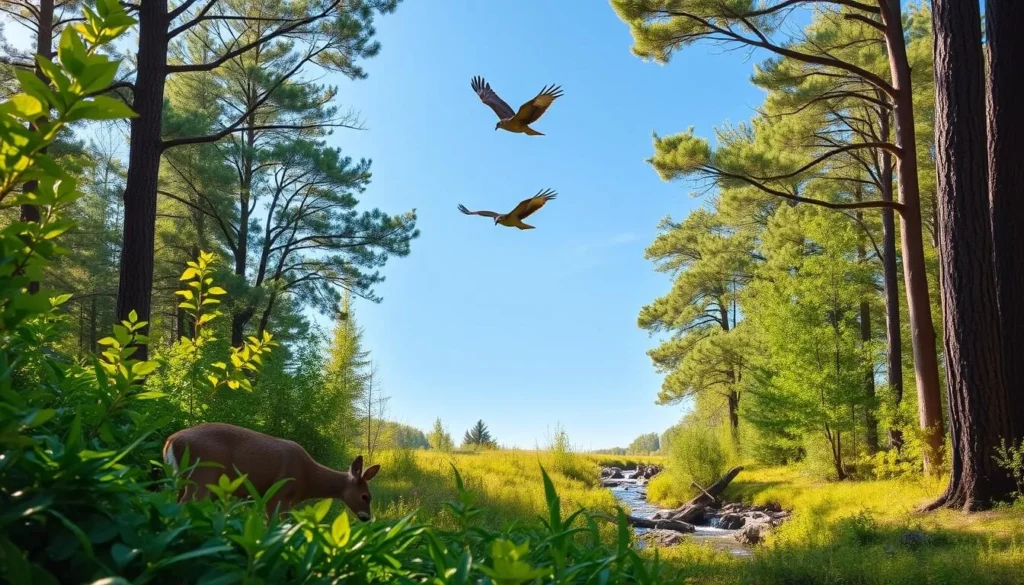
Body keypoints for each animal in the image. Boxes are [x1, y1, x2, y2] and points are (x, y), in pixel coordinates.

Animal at [163, 422, 381, 521]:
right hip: (202, 475)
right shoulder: (278, 495)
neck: (308, 480)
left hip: (182, 480)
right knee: (186, 504)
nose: (366, 518)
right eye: (366, 496)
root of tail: (171, 441)